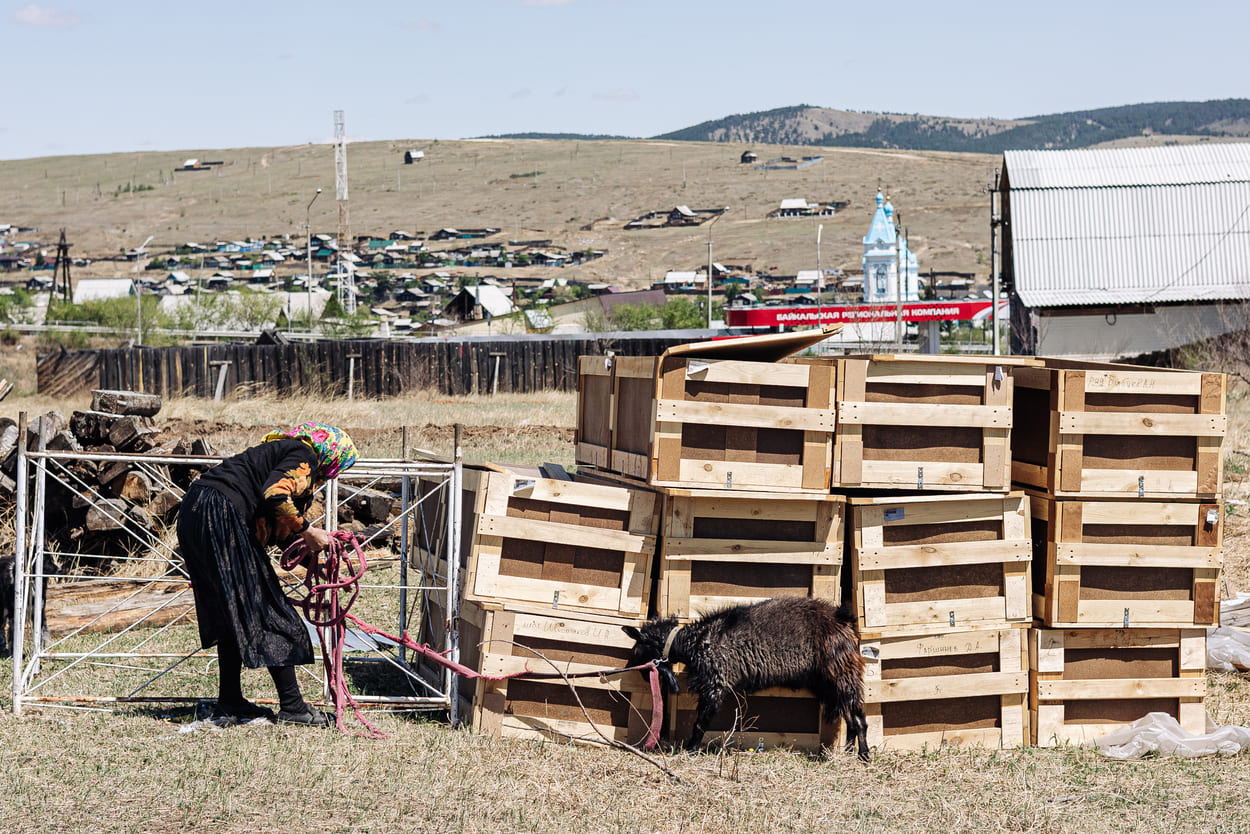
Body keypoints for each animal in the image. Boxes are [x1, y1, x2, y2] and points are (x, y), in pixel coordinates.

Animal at [622, 597, 870, 760]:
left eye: (637, 650)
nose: (642, 674)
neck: (696, 642)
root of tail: (842, 619)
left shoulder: (715, 682)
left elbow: (701, 722)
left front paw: (691, 750)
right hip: (827, 683)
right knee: (850, 716)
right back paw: (849, 753)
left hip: (840, 674)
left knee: (858, 718)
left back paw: (864, 755)